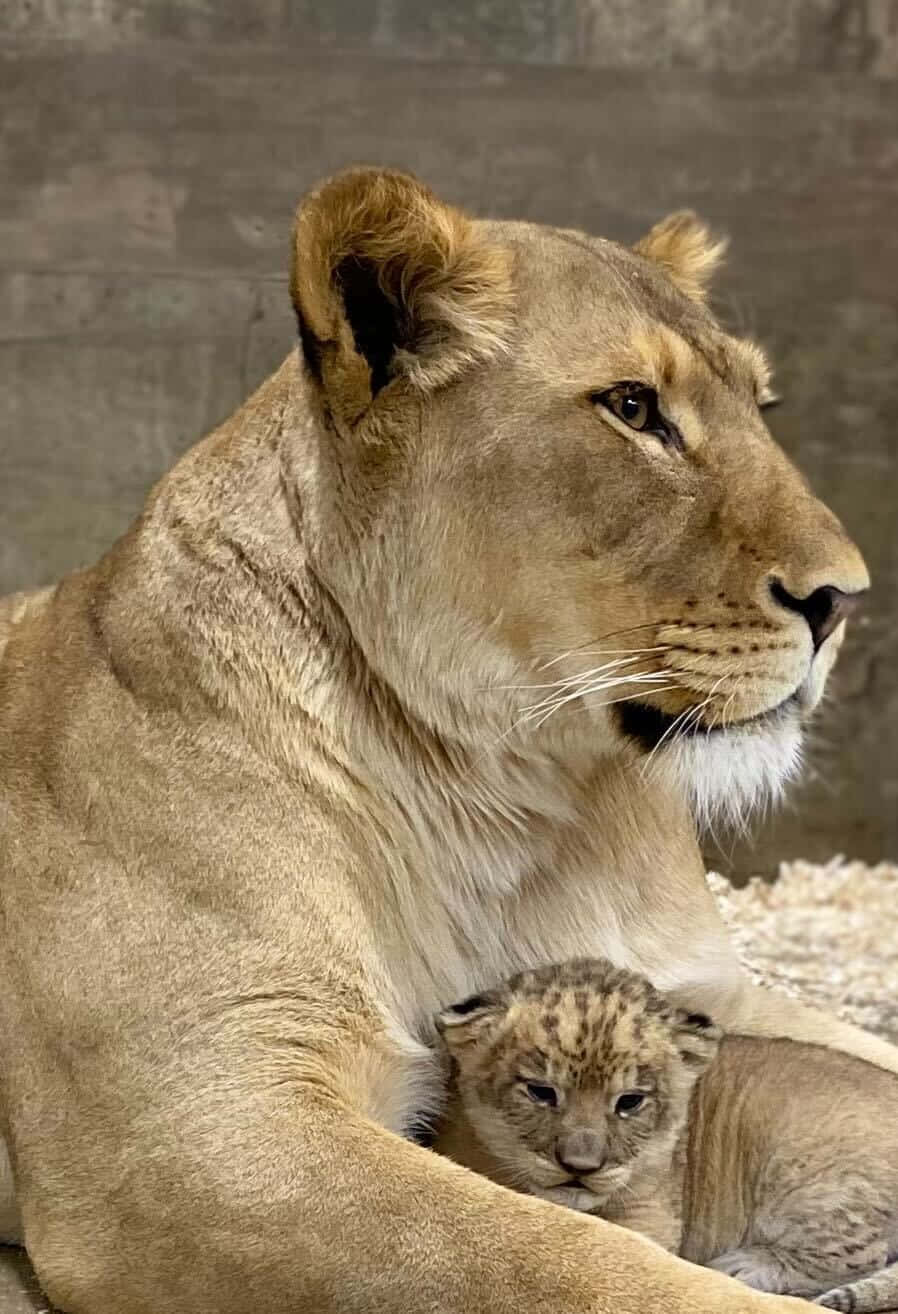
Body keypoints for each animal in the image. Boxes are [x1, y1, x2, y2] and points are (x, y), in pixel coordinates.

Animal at [436, 958, 898, 1312]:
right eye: (540, 1092)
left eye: (630, 1102)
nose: (580, 1167)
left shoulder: (650, 1216)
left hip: (809, 1182)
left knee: (858, 1255)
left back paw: (745, 1266)